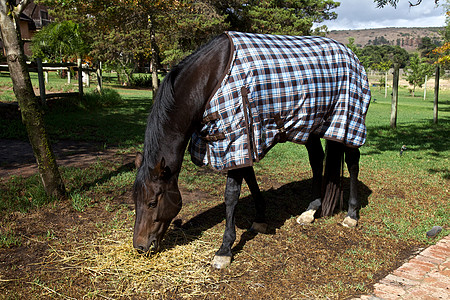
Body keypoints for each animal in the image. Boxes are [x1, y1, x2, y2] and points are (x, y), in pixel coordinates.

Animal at [132, 32, 370, 270]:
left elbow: (231, 195)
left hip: (348, 120)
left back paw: (351, 215)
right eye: (134, 199)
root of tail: (350, 54)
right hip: (309, 125)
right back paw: (310, 211)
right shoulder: (242, 141)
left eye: (152, 202)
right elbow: (250, 178)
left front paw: (225, 249)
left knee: (353, 162)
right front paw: (260, 218)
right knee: (316, 160)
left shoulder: (235, 136)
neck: (210, 79)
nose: (140, 247)